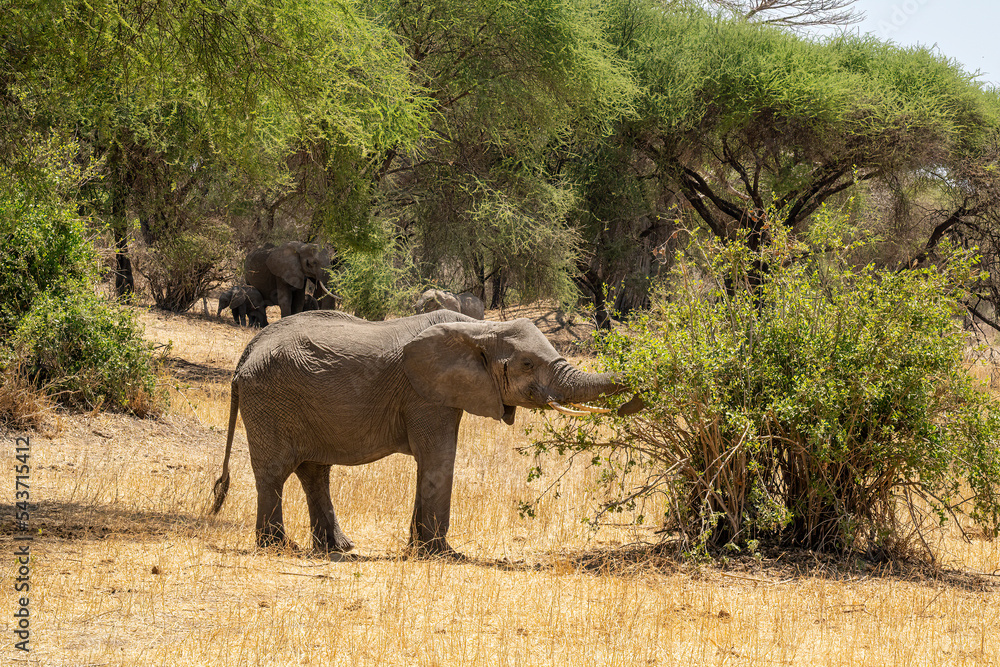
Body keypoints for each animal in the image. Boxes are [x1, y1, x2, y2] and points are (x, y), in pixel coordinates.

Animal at [211, 310, 642, 555]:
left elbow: (432, 460)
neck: (480, 328)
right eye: (527, 363)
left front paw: (419, 547)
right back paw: (279, 546)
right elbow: (439, 456)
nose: (633, 402)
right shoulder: (424, 393)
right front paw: (442, 554)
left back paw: (339, 548)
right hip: (269, 399)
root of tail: (245, 354)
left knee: (314, 472)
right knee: (275, 471)